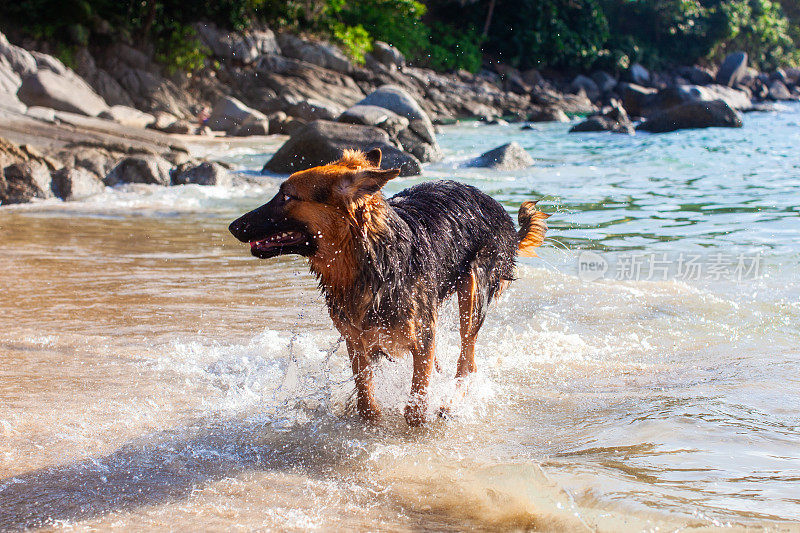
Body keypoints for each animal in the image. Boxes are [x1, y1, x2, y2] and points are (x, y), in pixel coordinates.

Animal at [228, 148, 548, 426]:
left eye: (286, 196)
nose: (232, 226)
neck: (368, 259)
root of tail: (497, 207)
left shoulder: (422, 335)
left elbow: (415, 405)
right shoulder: (356, 340)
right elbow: (366, 401)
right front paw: (370, 420)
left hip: (472, 291)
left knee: (467, 360)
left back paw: (450, 404)